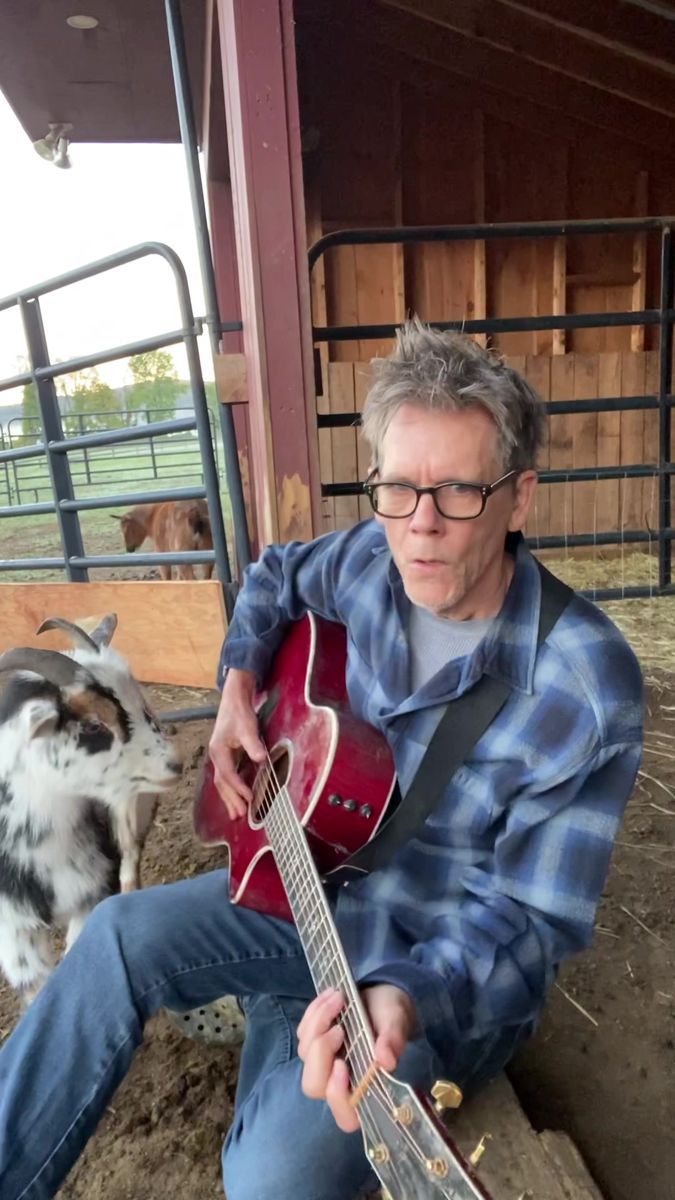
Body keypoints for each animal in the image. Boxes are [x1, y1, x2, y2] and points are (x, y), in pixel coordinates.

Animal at [0, 619, 181, 1003]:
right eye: (94, 724)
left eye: (137, 704)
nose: (174, 763)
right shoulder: (11, 927)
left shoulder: (92, 889)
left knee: (130, 857)